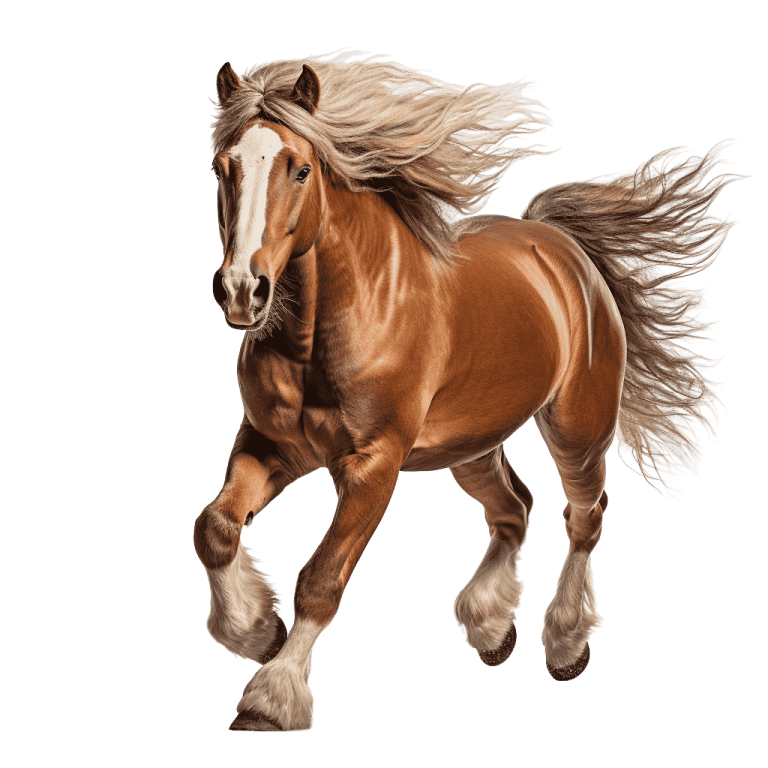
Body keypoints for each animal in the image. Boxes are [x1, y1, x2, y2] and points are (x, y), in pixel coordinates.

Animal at [196, 49, 750, 731]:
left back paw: (565, 643)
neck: (335, 322)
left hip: (578, 427)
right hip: (469, 445)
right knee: (514, 509)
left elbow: (321, 579)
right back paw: (490, 627)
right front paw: (252, 627)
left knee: (583, 517)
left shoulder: (372, 466)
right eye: (223, 168)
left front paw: (273, 697)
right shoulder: (271, 443)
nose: (241, 290)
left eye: (300, 169)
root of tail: (566, 253)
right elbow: (215, 527)